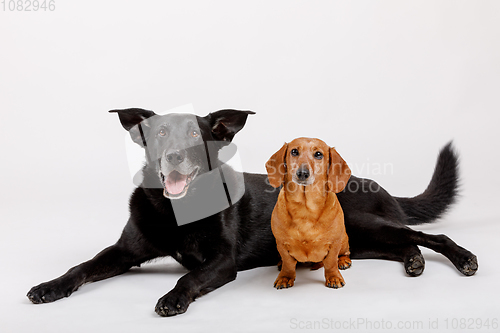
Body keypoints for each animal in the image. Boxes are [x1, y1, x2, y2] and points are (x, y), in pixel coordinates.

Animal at [26, 107, 476, 316]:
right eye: (160, 133)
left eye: (196, 135)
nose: (173, 156)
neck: (178, 209)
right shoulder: (124, 252)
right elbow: (82, 267)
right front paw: (50, 286)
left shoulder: (221, 261)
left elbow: (189, 277)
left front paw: (172, 298)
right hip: (362, 241)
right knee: (403, 243)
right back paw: (414, 263)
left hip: (362, 221)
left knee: (427, 235)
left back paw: (462, 258)